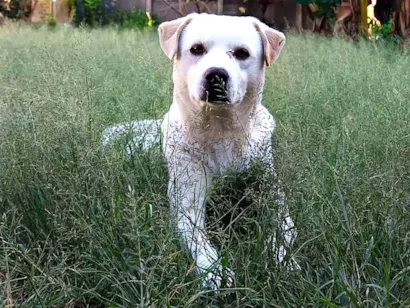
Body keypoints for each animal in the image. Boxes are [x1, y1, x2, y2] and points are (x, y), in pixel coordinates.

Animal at [101, 13, 302, 288]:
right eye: (197, 49)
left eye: (242, 53)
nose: (216, 75)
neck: (220, 131)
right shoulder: (187, 202)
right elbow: (198, 239)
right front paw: (214, 270)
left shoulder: (272, 194)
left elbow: (284, 228)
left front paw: (284, 260)